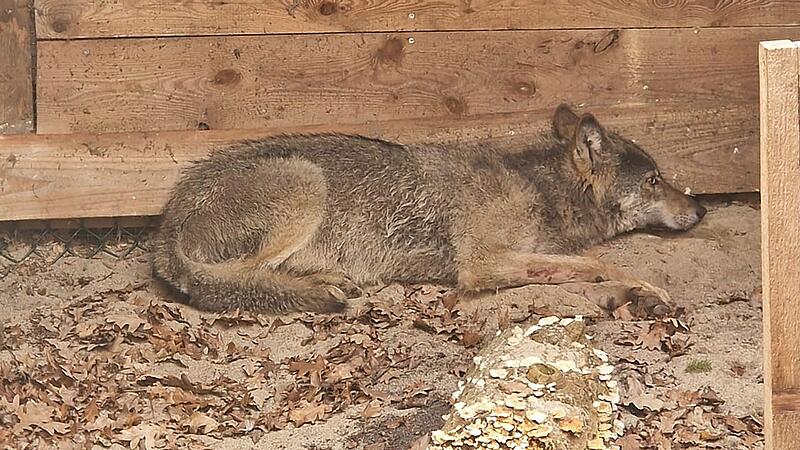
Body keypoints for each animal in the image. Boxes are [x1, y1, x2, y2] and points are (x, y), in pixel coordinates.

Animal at [150, 104, 706, 317]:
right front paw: (644, 288)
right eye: (655, 180)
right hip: (305, 182)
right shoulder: (481, 265)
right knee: (241, 279)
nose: (701, 208)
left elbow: (578, 269)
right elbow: (597, 263)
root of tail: (164, 228)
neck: (540, 189)